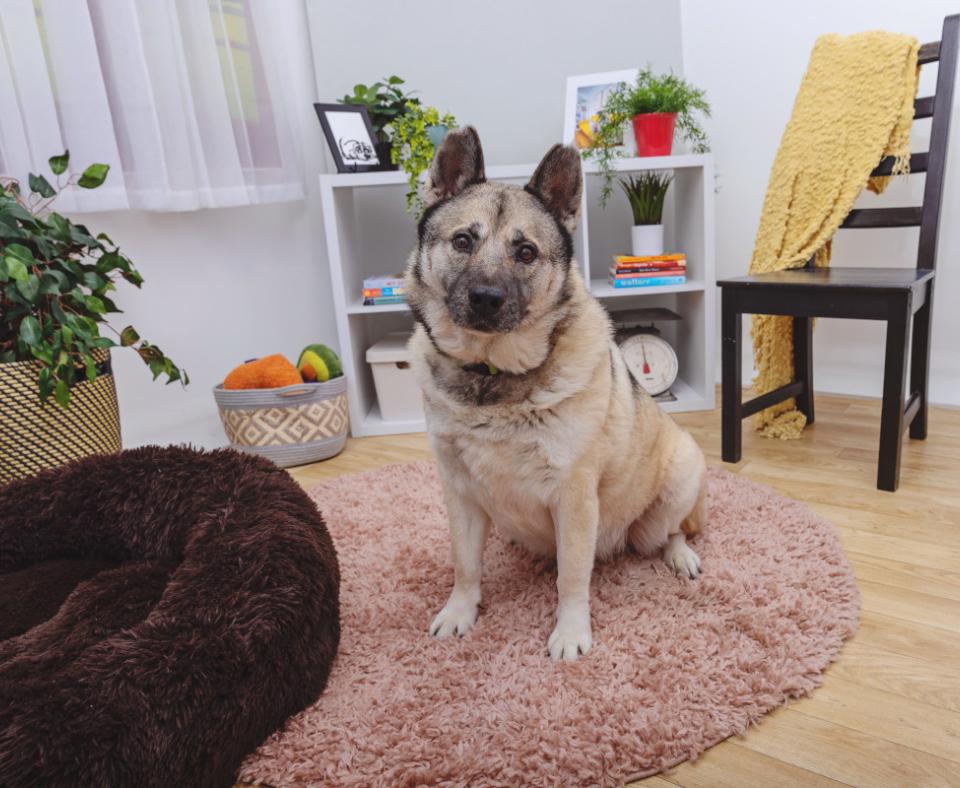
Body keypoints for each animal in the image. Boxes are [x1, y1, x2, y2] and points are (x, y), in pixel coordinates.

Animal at [404, 127, 704, 660]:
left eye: (526, 253)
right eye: (463, 241)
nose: (485, 298)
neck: (493, 374)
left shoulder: (574, 498)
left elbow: (572, 577)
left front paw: (570, 631)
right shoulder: (459, 493)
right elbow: (466, 564)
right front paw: (461, 611)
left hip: (680, 476)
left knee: (668, 532)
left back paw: (680, 555)